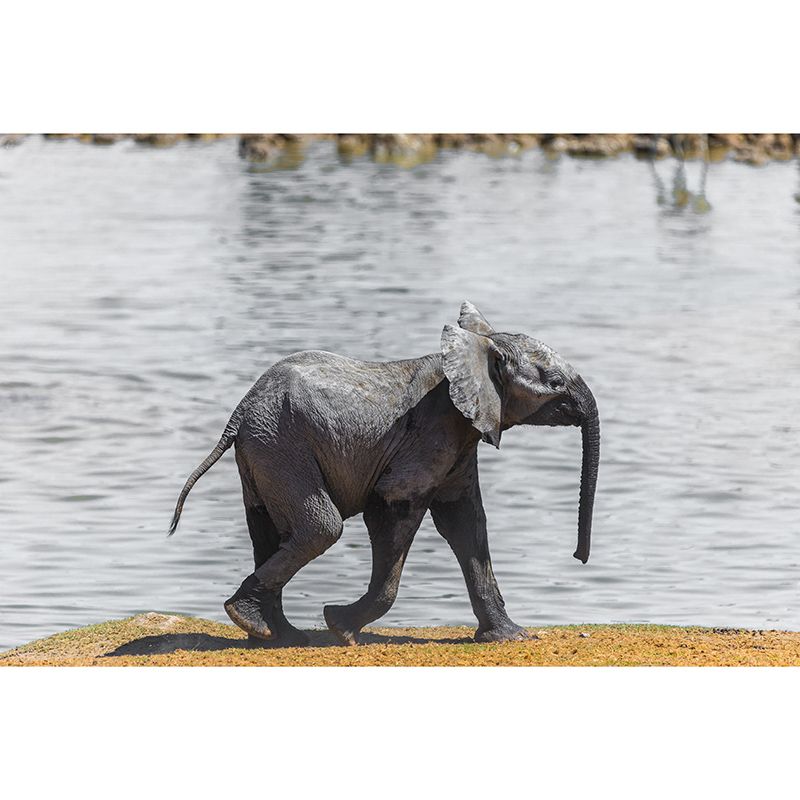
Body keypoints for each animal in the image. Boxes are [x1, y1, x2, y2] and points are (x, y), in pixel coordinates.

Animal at [168, 301, 600, 646]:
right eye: (555, 383)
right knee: (321, 528)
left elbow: (465, 523)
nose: (579, 558)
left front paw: (511, 637)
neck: (475, 350)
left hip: (265, 447)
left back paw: (275, 634)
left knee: (268, 529)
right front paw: (340, 627)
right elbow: (392, 510)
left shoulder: (460, 442)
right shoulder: (431, 434)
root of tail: (240, 411)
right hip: (281, 444)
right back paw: (257, 622)